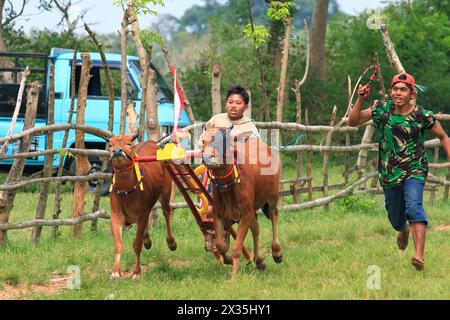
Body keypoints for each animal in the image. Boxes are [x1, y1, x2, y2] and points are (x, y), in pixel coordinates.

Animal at [107, 134, 176, 278]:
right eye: (110, 145)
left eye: (128, 144)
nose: (117, 151)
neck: (126, 192)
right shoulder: (115, 215)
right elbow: (118, 245)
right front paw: (115, 272)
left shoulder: (142, 214)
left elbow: (137, 245)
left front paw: (137, 272)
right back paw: (147, 240)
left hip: (166, 193)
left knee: (167, 212)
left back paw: (171, 242)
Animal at [201, 128, 282, 280]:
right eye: (203, 140)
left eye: (223, 141)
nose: (207, 157)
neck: (228, 186)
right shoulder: (219, 214)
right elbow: (221, 245)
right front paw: (227, 260)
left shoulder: (246, 214)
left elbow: (237, 247)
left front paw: (233, 277)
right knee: (256, 227)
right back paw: (259, 261)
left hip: (272, 197)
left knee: (274, 215)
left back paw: (277, 252)